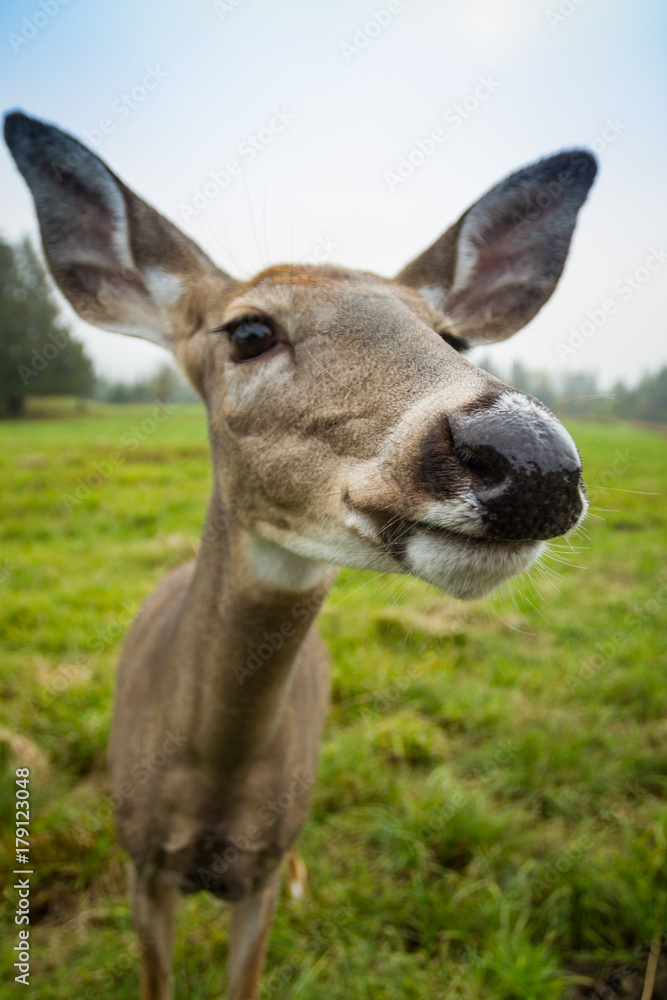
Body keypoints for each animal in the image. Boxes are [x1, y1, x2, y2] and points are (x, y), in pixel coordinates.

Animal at [5, 110, 597, 1000]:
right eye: (249, 330)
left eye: (451, 335)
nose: (531, 460)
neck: (211, 780)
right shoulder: (141, 863)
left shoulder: (255, 870)